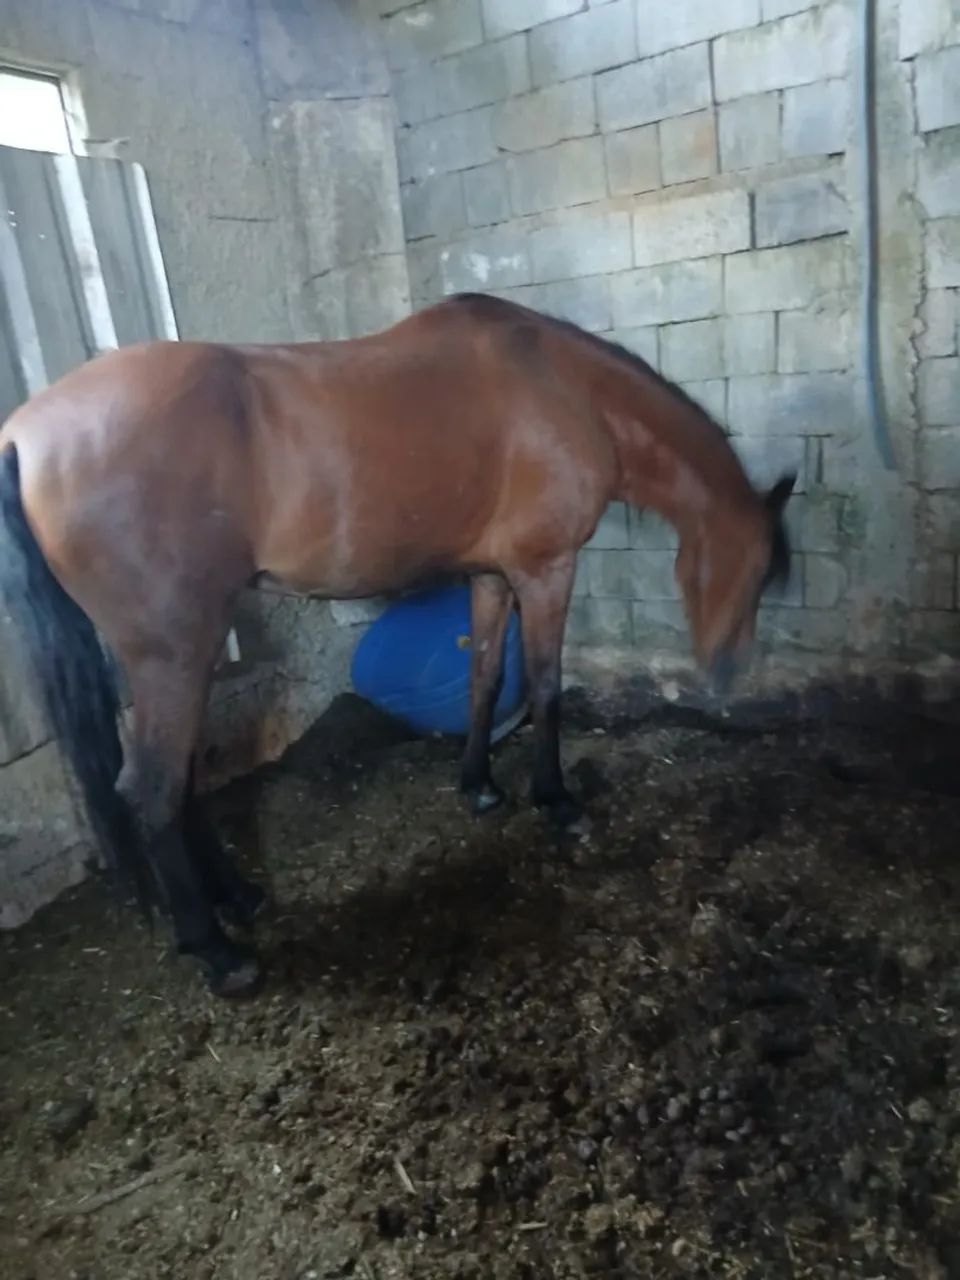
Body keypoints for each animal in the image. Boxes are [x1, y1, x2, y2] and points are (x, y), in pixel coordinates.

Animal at [0, 292, 794, 996]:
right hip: (174, 651)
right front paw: (558, 803)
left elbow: (484, 676)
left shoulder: (490, 574)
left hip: (170, 657)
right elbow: (544, 686)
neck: (565, 387)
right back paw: (218, 952)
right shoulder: (546, 568)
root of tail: (24, 435)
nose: (728, 672)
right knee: (152, 788)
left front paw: (479, 786)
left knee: (179, 778)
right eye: (759, 570)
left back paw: (239, 898)